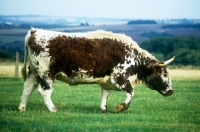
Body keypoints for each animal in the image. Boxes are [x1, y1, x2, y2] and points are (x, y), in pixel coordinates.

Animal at [18, 27, 175, 112]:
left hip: (34, 73)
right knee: (44, 92)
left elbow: (105, 95)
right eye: (164, 73)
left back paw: (22, 108)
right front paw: (120, 107)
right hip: (46, 73)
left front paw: (103, 109)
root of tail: (35, 31)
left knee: (27, 89)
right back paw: (53, 109)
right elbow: (131, 93)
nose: (171, 91)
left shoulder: (107, 82)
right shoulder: (119, 78)